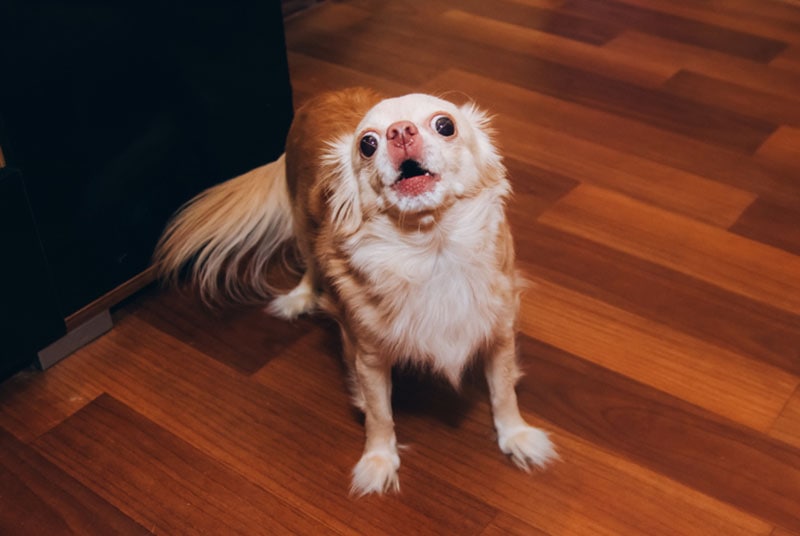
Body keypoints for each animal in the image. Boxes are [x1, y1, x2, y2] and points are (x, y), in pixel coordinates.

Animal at [155, 87, 556, 494]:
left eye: (446, 125)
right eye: (367, 144)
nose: (400, 132)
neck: (431, 250)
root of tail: (323, 96)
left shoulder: (499, 334)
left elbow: (503, 392)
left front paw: (516, 436)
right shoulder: (367, 357)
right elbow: (379, 414)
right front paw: (378, 461)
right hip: (302, 225)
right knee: (311, 264)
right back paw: (301, 297)